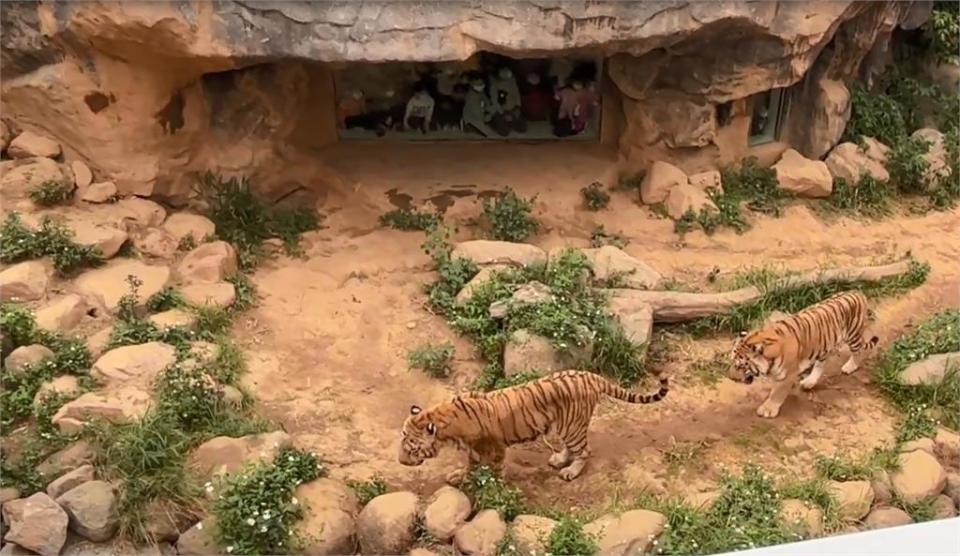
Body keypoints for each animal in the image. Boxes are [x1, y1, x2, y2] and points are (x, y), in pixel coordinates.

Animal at [398, 372, 668, 484]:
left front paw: (492, 490)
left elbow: (493, 470)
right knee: (571, 447)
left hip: (572, 425)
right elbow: (471, 465)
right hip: (565, 424)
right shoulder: (473, 449)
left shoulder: (495, 448)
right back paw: (559, 460)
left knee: (584, 451)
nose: (400, 462)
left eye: (411, 448)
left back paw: (570, 471)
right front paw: (459, 476)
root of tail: (591, 375)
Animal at [728, 292, 876, 416]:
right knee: (821, 364)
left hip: (853, 335)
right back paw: (809, 382)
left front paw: (768, 409)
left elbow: (778, 393)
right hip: (824, 345)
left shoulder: (788, 374)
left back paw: (850, 367)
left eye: (741, 365)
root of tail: (857, 293)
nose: (731, 378)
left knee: (858, 352)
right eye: (732, 361)